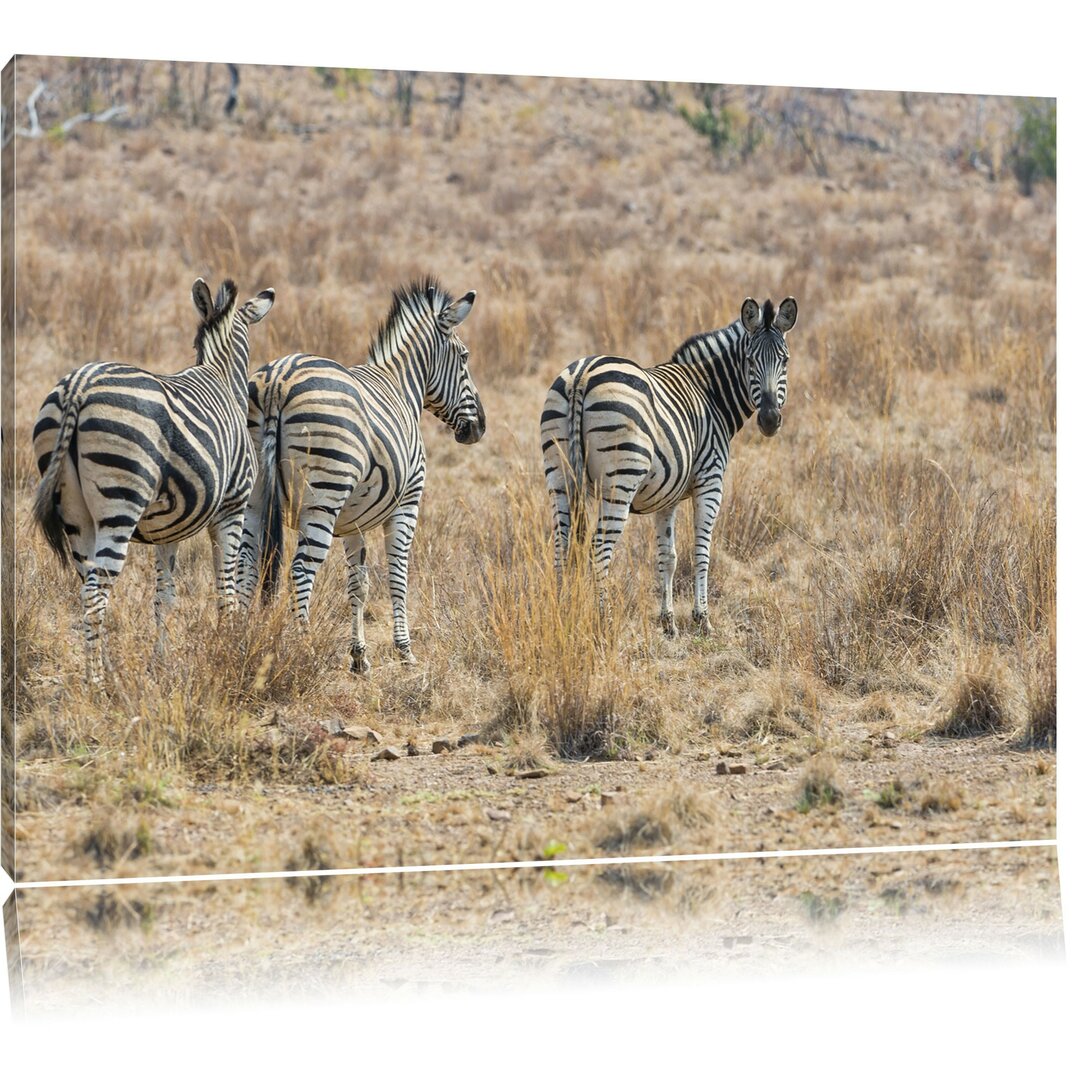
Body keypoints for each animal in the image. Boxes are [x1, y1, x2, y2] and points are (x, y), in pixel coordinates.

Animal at [32, 278, 276, 682]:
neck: (223, 377)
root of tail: (79, 385)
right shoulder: (233, 506)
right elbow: (225, 589)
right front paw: (230, 652)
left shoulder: (168, 529)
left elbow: (165, 596)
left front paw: (159, 663)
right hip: (121, 501)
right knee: (97, 593)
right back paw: (97, 683)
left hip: (74, 513)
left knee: (88, 589)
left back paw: (104, 669)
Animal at [240, 274, 486, 669]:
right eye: (464, 358)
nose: (479, 428)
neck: (401, 385)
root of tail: (279, 379)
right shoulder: (407, 504)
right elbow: (398, 575)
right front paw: (405, 650)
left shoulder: (352, 520)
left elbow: (359, 583)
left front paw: (359, 656)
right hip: (323, 496)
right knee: (300, 570)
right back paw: (304, 649)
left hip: (256, 495)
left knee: (247, 565)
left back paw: (237, 639)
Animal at [544, 293, 799, 630]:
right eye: (750, 361)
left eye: (785, 361)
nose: (770, 421)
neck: (710, 393)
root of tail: (582, 375)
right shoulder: (710, 482)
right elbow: (701, 551)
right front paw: (702, 618)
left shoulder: (667, 496)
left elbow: (668, 556)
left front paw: (668, 622)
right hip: (620, 479)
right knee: (599, 548)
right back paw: (604, 622)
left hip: (559, 476)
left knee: (562, 546)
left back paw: (561, 615)